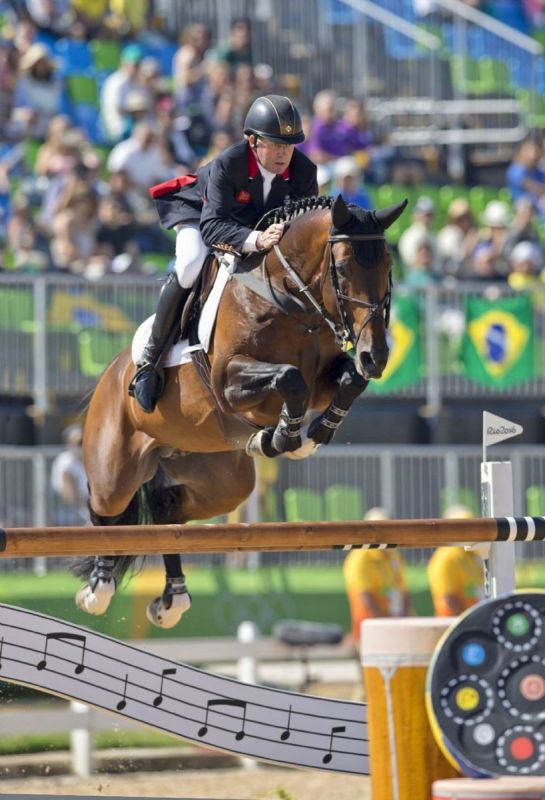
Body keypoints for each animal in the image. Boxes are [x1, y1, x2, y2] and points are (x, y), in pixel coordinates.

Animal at [74, 193, 407, 628]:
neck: (289, 300)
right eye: (345, 267)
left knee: (168, 510)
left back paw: (172, 599)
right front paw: (285, 437)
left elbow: (349, 381)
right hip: (115, 466)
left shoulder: (324, 377)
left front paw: (311, 433)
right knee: (106, 511)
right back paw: (98, 589)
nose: (376, 356)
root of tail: (109, 374)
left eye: (387, 266)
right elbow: (289, 378)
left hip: (221, 481)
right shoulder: (228, 383)